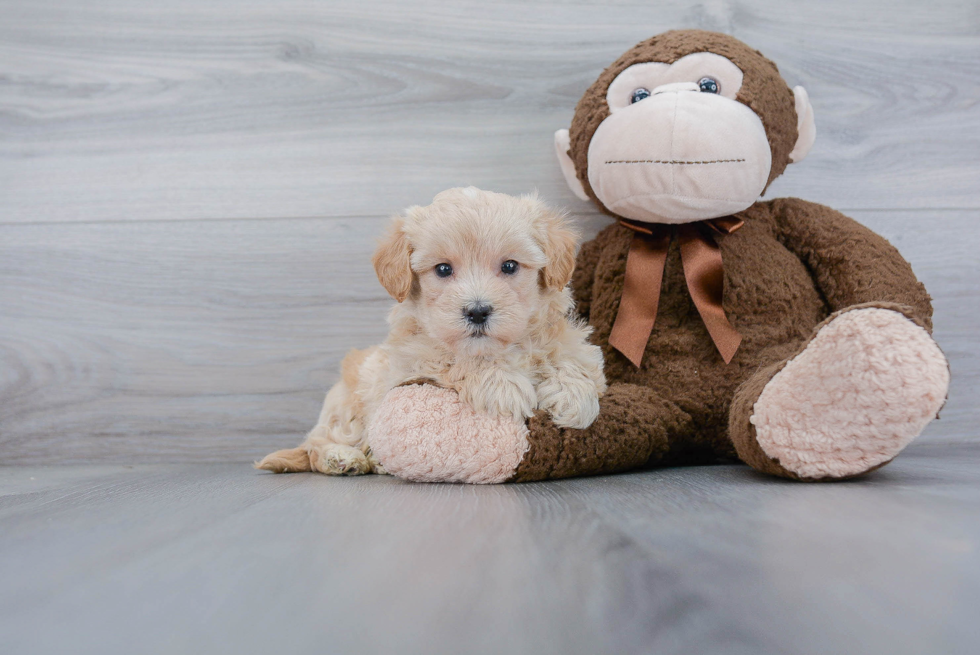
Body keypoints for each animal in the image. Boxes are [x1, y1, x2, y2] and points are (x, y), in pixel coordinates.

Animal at [256, 188, 604, 476]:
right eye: (443, 269)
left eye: (509, 266)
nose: (477, 311)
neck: (499, 348)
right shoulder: (412, 360)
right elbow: (455, 358)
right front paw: (502, 386)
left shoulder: (566, 338)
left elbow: (573, 355)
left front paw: (573, 395)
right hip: (347, 406)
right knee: (315, 444)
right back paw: (342, 457)